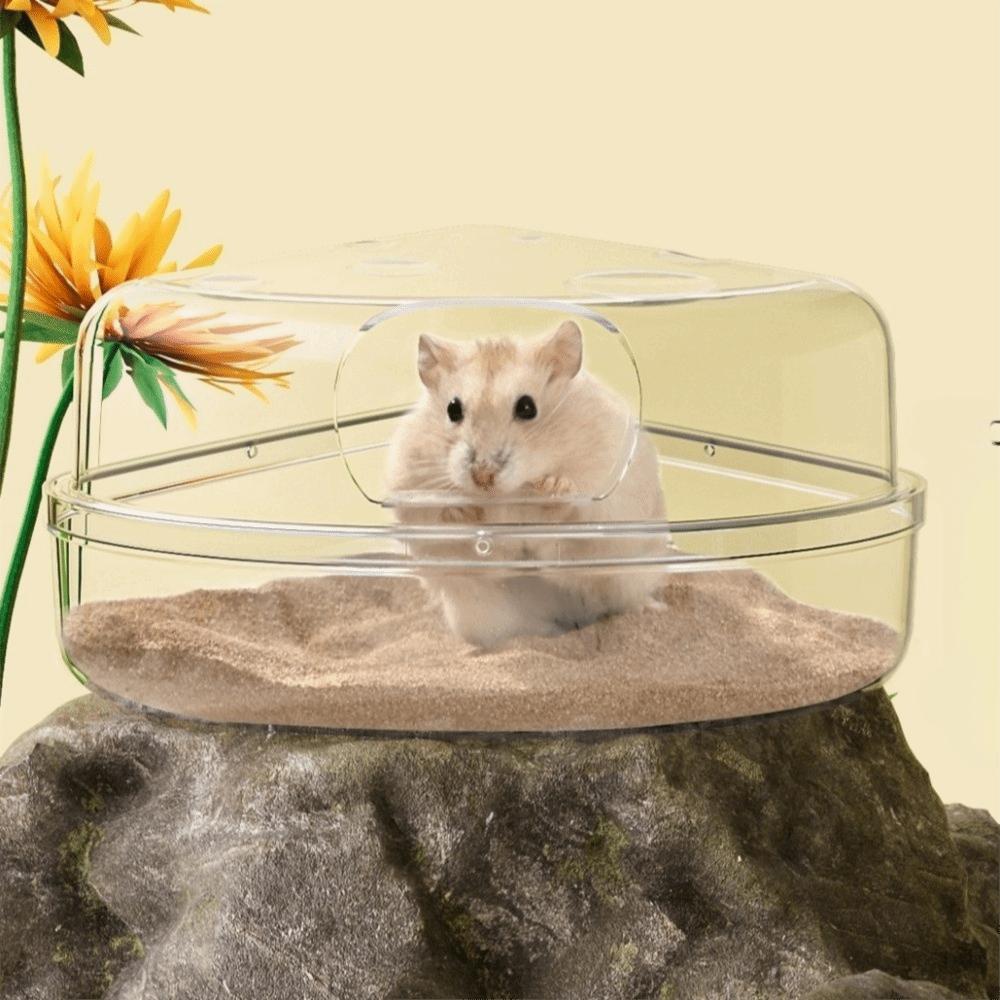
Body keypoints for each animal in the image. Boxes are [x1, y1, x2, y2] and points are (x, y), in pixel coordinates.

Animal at [385, 320, 668, 647]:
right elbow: (445, 527)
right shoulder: (409, 490)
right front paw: (464, 512)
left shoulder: (607, 493)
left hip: (632, 577)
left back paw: (652, 609)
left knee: (618, 601)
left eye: (527, 407)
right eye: (452, 409)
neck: (508, 495)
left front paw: (553, 489)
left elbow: (576, 520)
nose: (483, 477)